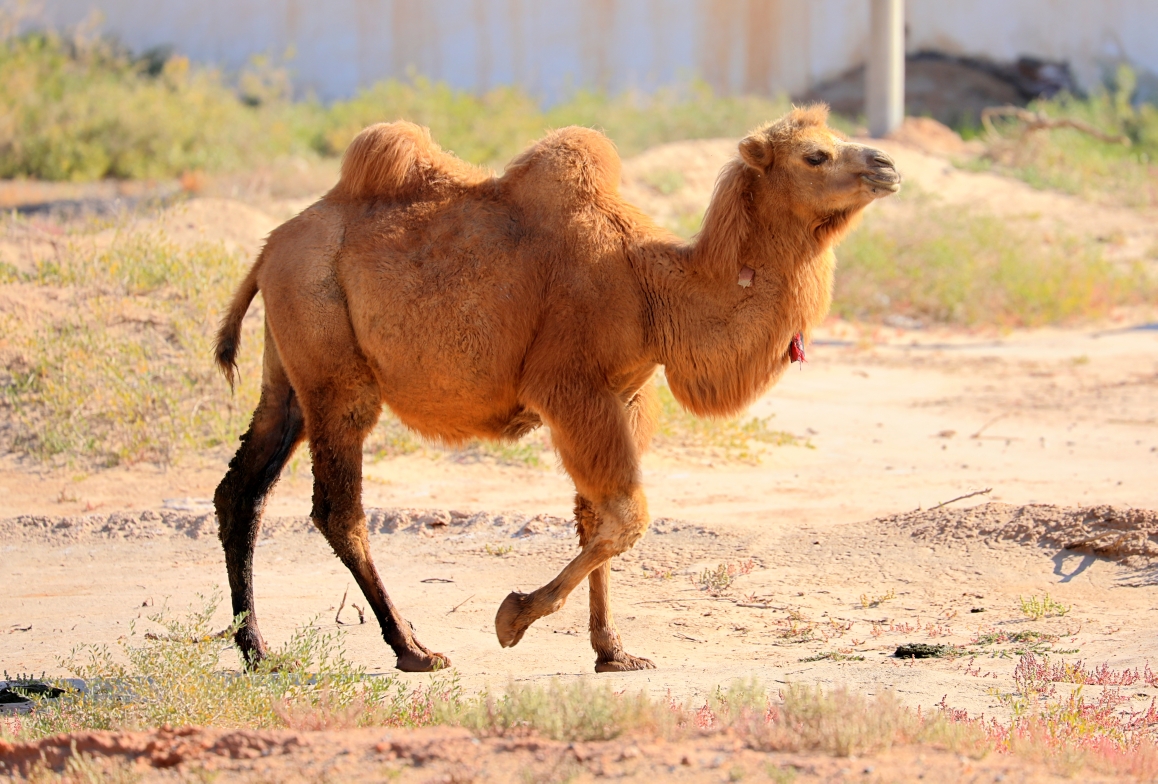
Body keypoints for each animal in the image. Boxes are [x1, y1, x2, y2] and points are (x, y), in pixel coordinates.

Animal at [213, 104, 898, 671]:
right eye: (816, 155)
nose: (887, 166)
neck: (654, 288)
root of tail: (269, 247)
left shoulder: (624, 396)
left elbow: (595, 517)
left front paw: (614, 652)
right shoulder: (572, 389)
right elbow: (627, 515)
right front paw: (513, 617)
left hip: (288, 375)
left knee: (240, 492)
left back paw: (260, 652)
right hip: (335, 369)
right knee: (339, 509)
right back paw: (412, 649)